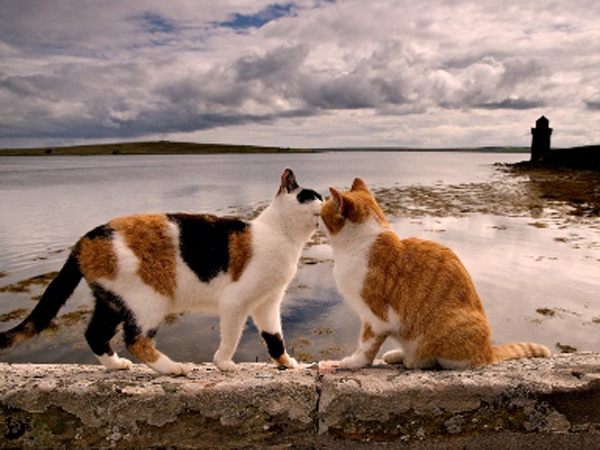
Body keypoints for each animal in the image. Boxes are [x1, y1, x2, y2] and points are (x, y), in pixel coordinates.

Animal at [0, 169, 324, 376]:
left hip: (111, 301)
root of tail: (85, 239)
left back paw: (116, 366)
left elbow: (274, 336)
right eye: (311, 196)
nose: (328, 201)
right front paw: (222, 363)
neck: (282, 235)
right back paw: (172, 368)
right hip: (147, 300)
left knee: (94, 334)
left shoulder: (267, 302)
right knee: (136, 340)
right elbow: (231, 337)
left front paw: (286, 362)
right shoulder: (236, 302)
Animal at [322, 178, 552, 370]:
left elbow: (366, 346)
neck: (359, 245)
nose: (316, 214)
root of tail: (488, 352)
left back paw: (412, 360)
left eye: (322, 213)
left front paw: (353, 363)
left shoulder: (376, 318)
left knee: (436, 360)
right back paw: (397, 354)